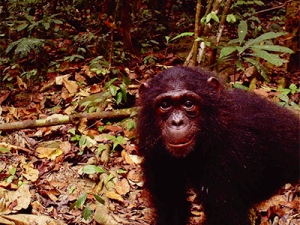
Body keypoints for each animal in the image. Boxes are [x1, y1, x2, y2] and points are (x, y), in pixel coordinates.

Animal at [137, 67, 298, 225]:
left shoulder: (227, 159)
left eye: (188, 103)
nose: (177, 122)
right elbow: (171, 205)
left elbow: (225, 216)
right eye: (165, 105)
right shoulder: (156, 153)